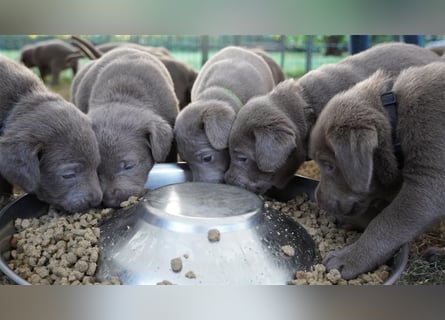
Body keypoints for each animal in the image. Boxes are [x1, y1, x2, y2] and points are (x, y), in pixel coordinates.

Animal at [308, 62, 445, 278]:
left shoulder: (429, 182)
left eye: (329, 165)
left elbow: (387, 221)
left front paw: (348, 258)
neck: (396, 122)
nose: (318, 199)